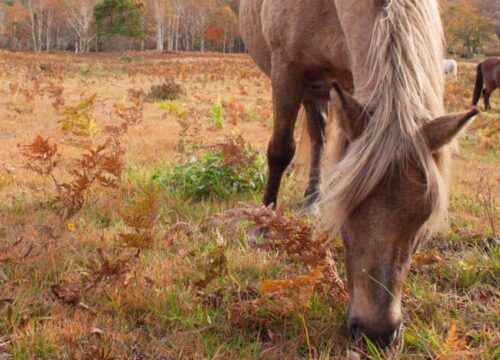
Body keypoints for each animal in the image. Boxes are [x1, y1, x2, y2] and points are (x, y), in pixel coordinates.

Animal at [240, 0, 478, 348]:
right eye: (346, 211)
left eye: (424, 217)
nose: (377, 333)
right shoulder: (287, 69)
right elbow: (280, 149)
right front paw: (263, 222)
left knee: (319, 131)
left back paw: (312, 200)